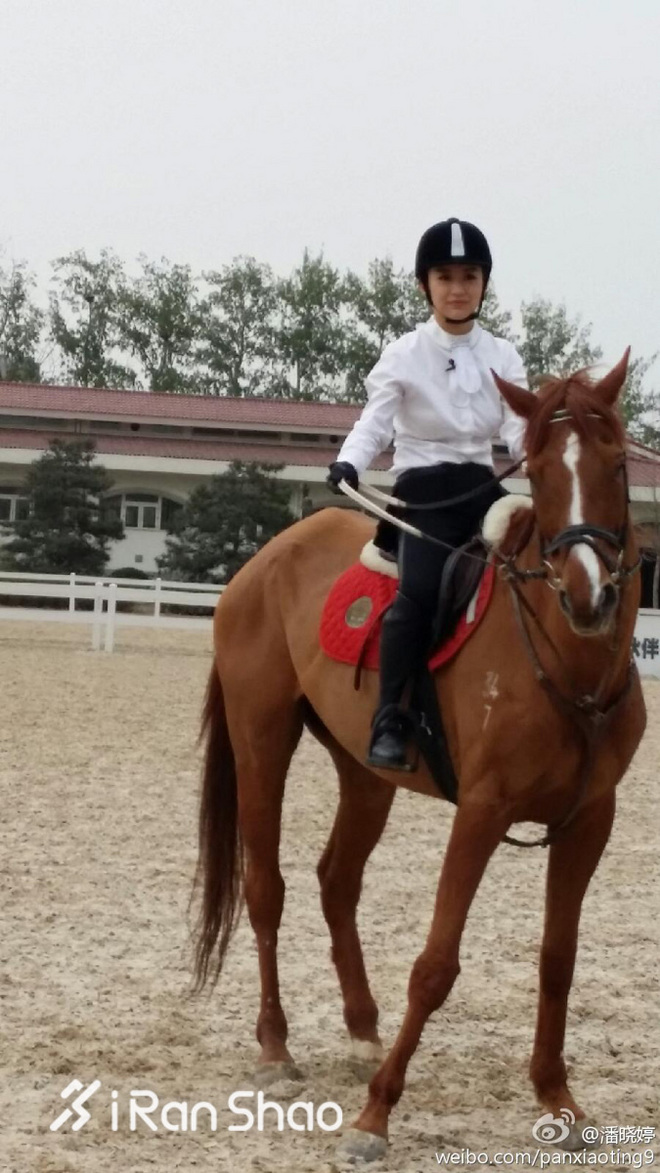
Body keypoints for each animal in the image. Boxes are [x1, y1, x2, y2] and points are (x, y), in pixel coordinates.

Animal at [191, 352, 646, 1163]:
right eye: (539, 470)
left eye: (617, 461)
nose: (586, 594)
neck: (571, 666)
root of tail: (264, 559)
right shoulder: (483, 811)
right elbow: (436, 965)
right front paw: (375, 1117)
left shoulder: (591, 820)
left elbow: (558, 958)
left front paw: (558, 1100)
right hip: (260, 738)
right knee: (265, 886)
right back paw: (276, 1047)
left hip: (366, 773)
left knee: (337, 881)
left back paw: (363, 1030)